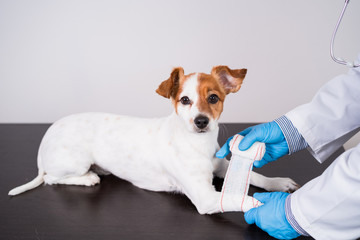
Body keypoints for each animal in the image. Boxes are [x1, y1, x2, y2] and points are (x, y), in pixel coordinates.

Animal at [8, 65, 298, 214]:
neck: (198, 145)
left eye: (213, 98)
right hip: (75, 162)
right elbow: (244, 199)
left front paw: (277, 182)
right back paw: (88, 178)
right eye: (185, 100)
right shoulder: (205, 197)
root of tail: (45, 141)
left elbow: (257, 176)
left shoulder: (221, 165)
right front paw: (273, 207)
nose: (201, 121)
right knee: (51, 178)